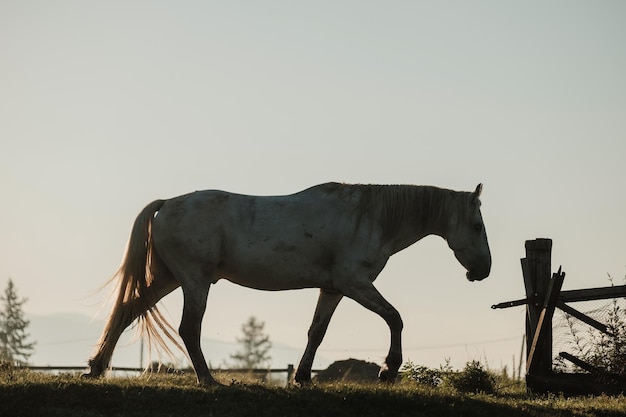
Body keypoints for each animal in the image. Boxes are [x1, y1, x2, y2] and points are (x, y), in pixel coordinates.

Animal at [85, 182, 490, 384]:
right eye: (476, 225)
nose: (483, 270)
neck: (369, 216)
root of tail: (166, 203)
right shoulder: (355, 284)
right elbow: (395, 317)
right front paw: (389, 369)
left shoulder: (333, 289)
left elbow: (316, 331)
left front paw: (304, 377)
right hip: (194, 282)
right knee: (188, 329)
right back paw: (208, 379)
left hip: (170, 279)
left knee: (126, 312)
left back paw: (96, 367)